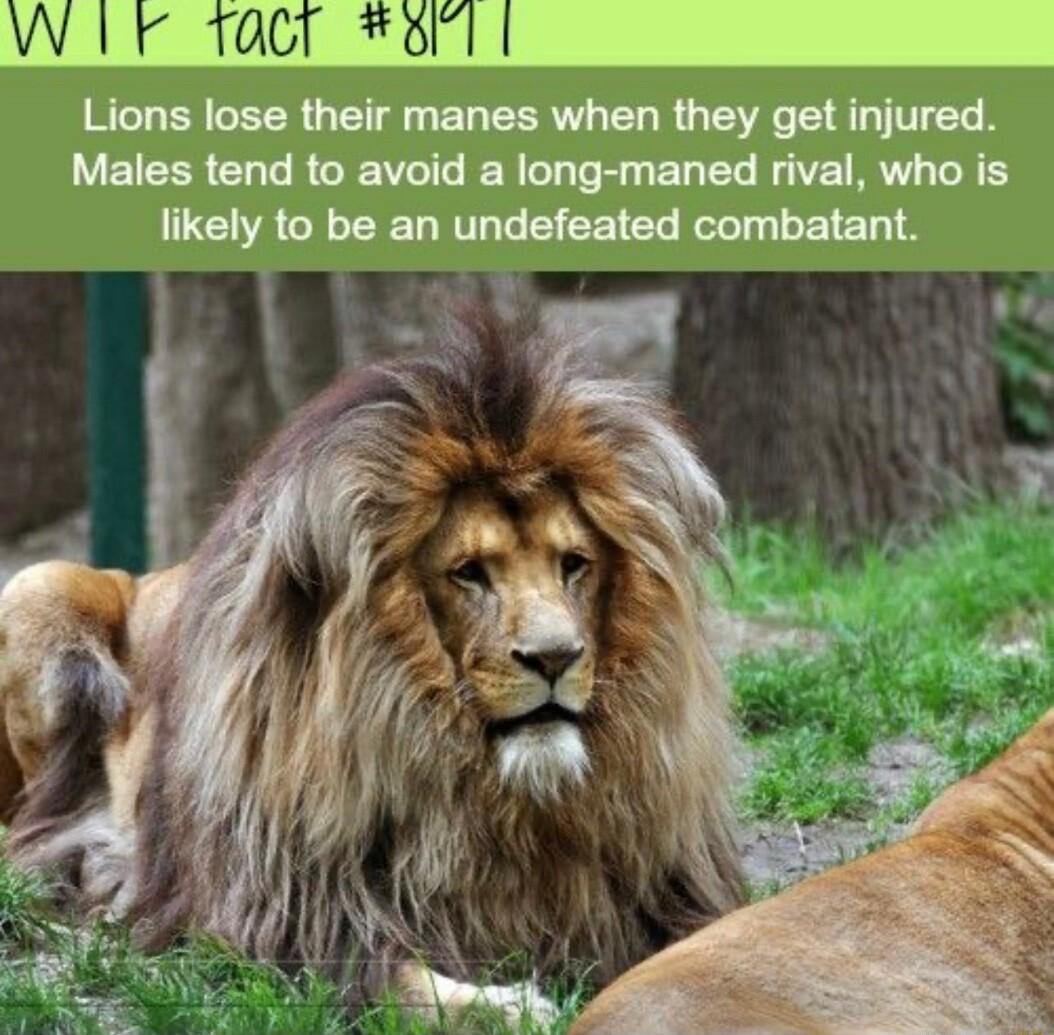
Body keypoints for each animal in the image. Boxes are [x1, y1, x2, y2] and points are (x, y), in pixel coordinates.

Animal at [0, 312, 743, 1017]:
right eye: (469, 572)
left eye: (574, 564)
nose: (557, 656)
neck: (494, 804)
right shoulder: (286, 922)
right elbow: (404, 985)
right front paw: (510, 1004)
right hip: (39, 585)